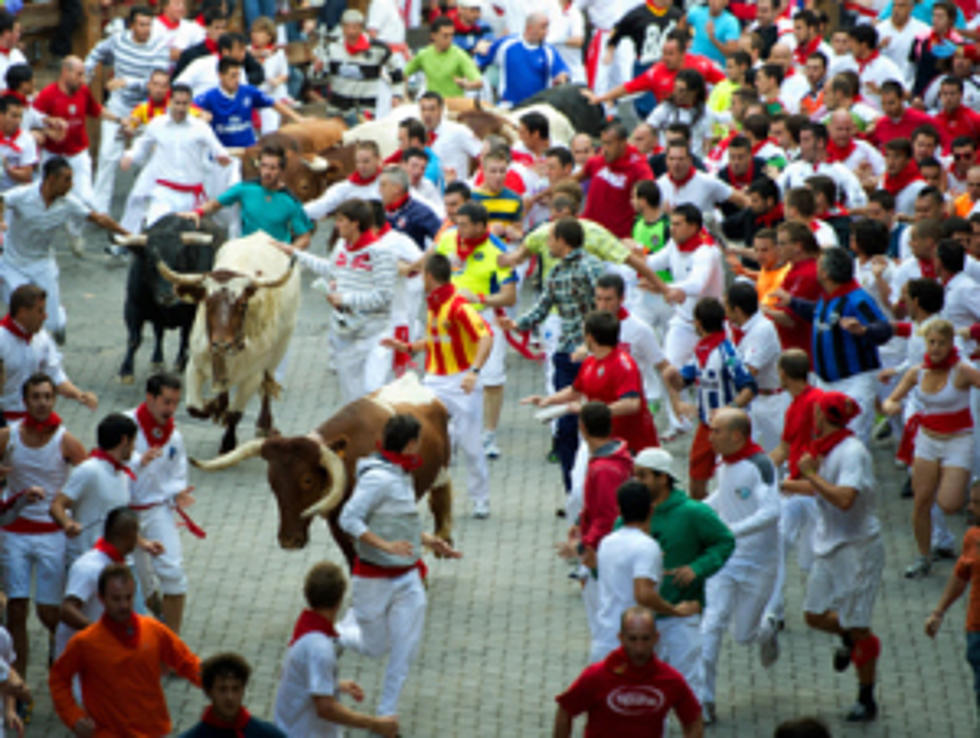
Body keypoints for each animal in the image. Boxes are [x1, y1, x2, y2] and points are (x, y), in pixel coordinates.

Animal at [119, 213, 227, 380]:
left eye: (180, 259)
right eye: (149, 260)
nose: (167, 295)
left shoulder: (193, 314)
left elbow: (185, 338)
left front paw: (181, 363)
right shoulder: (133, 306)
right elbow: (134, 339)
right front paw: (126, 370)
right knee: (159, 333)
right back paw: (157, 360)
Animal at [189, 374, 454, 564]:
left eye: (307, 480)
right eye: (272, 481)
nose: (289, 541)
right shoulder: (338, 526)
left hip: (442, 470)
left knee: (441, 497)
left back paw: (444, 540)